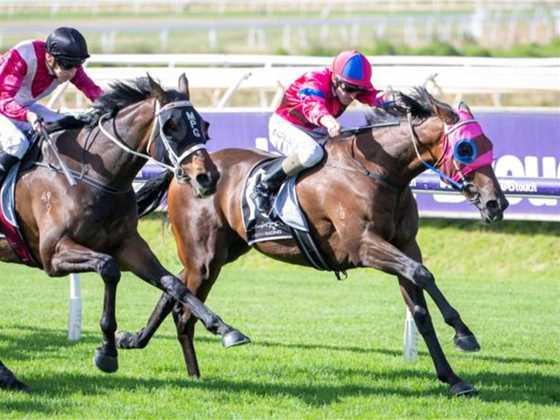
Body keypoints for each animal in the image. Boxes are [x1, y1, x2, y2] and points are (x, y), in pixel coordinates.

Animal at [0, 74, 249, 392]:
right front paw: (107, 351)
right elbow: (109, 269)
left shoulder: (128, 245)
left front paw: (225, 329)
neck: (93, 175)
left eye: (203, 126)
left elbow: (173, 283)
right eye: (170, 127)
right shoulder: (53, 254)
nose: (208, 178)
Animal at [117, 87, 508, 396]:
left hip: (218, 255)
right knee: (183, 308)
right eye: (466, 149)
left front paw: (453, 378)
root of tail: (180, 172)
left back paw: (141, 342)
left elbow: (420, 307)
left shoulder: (405, 245)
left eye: (488, 145)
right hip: (205, 257)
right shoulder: (364, 246)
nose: (496, 203)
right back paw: (193, 365)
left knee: (174, 289)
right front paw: (464, 334)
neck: (378, 171)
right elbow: (423, 274)